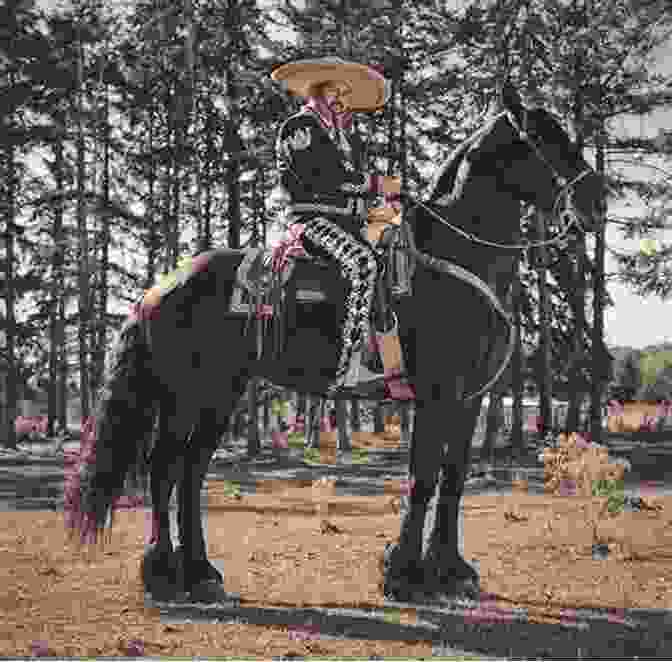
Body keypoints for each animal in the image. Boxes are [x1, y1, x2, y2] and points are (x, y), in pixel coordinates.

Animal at [64, 87, 604, 608]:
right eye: (543, 139)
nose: (596, 202)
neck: (455, 260)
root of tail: (161, 287)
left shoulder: (467, 399)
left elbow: (453, 477)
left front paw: (451, 572)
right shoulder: (437, 395)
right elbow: (423, 477)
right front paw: (404, 574)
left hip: (220, 392)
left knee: (191, 470)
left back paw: (199, 574)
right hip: (187, 393)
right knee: (165, 469)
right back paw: (162, 574)